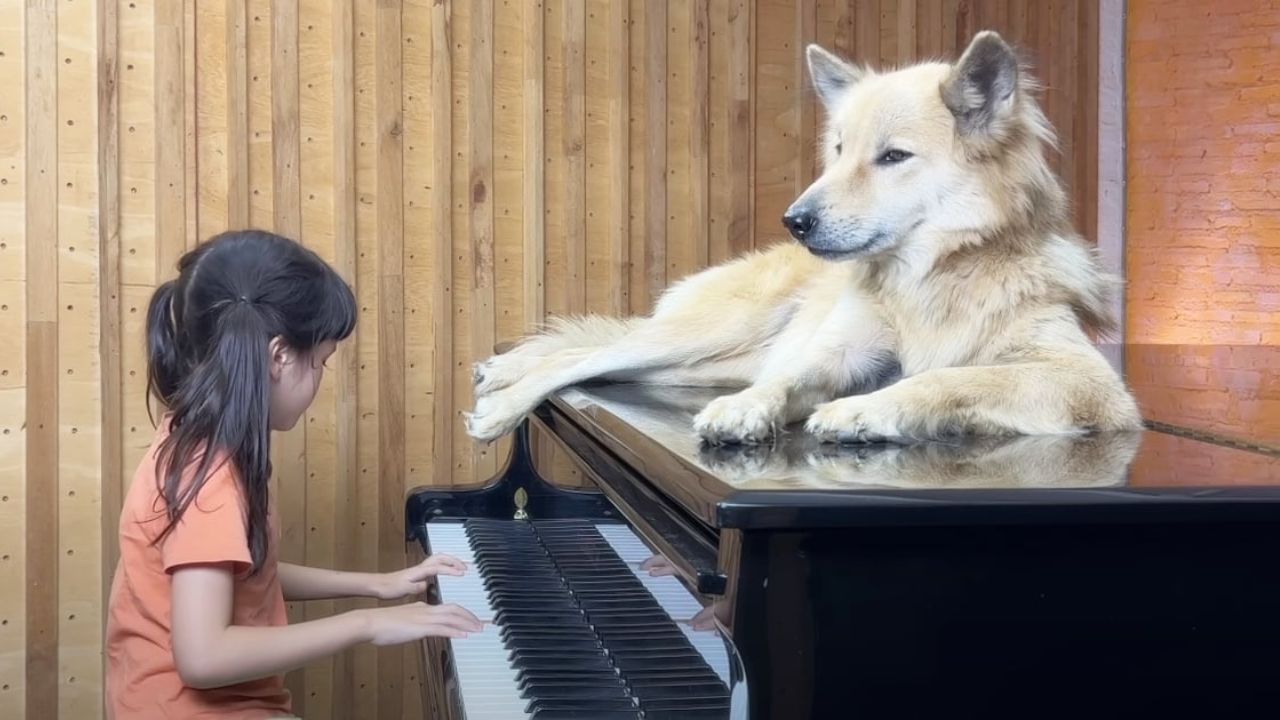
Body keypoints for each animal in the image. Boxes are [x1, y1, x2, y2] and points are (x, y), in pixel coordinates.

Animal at [465, 30, 1146, 445]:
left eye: (893, 157)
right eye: (839, 151)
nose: (794, 221)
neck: (930, 277)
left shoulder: (1087, 383)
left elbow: (951, 378)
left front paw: (862, 410)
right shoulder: (838, 354)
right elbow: (791, 378)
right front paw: (752, 408)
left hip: (702, 360)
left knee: (598, 357)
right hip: (710, 332)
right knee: (586, 353)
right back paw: (503, 395)